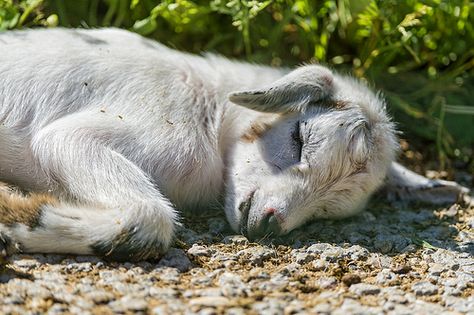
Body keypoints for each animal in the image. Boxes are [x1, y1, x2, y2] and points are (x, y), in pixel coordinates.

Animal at [0, 27, 466, 260]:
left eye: (328, 210)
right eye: (298, 138)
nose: (267, 225)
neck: (212, 106)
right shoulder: (78, 136)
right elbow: (151, 217)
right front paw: (16, 219)